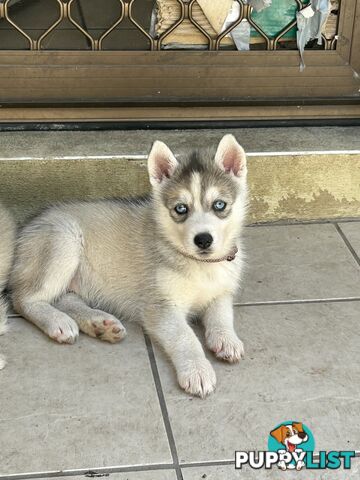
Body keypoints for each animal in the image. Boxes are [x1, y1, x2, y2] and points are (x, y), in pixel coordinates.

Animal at [10, 135, 248, 398]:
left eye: (219, 205)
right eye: (181, 208)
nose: (203, 240)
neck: (200, 265)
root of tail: (29, 224)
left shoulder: (221, 291)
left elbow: (222, 315)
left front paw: (226, 339)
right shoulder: (160, 305)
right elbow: (184, 335)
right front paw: (197, 370)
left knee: (65, 297)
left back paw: (99, 323)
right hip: (63, 240)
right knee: (24, 299)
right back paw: (57, 321)